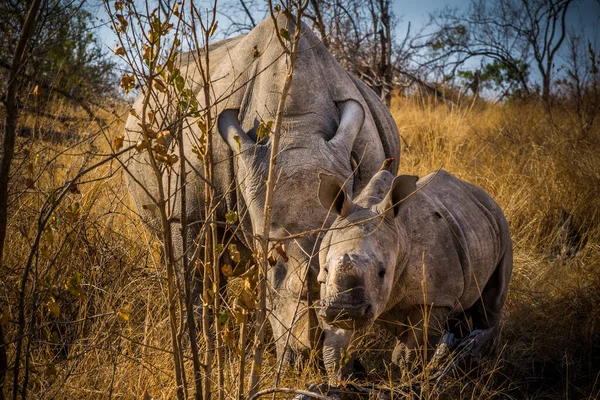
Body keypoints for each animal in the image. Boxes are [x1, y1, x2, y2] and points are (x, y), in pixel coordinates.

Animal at [121, 14, 400, 362]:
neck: (294, 124)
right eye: (268, 258)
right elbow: (195, 279)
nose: (307, 355)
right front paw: (198, 351)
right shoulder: (189, 217)